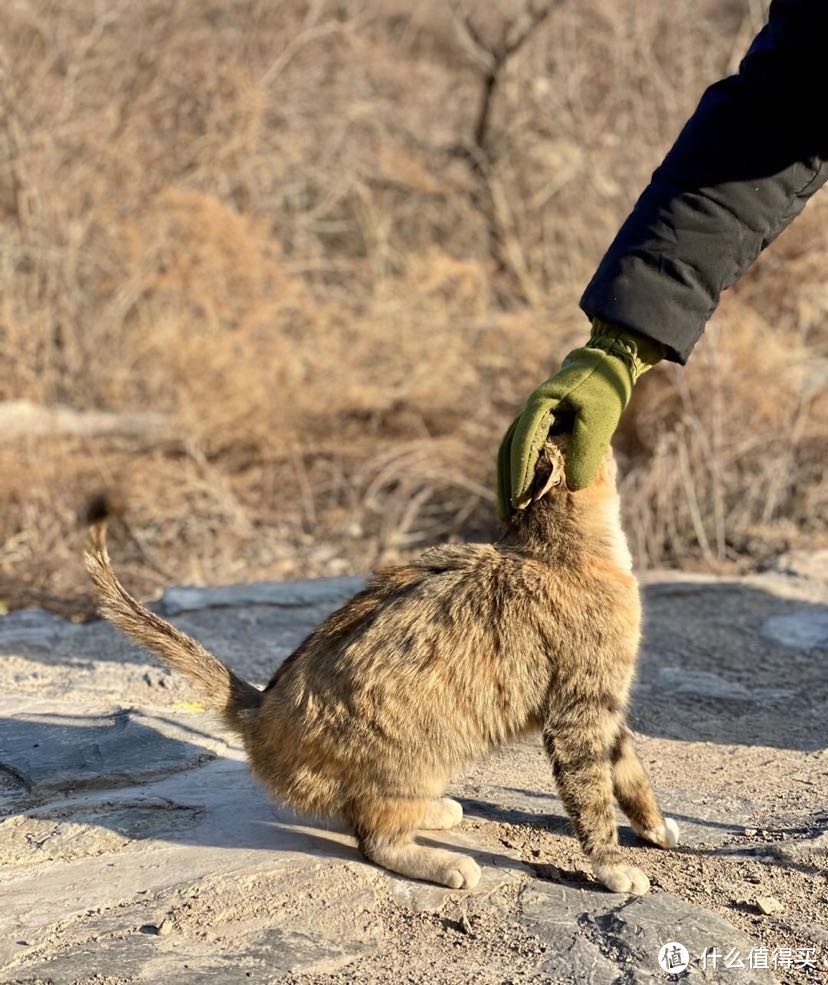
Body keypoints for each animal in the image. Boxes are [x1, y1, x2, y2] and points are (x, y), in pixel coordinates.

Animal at [85, 438, 680, 892]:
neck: (559, 552)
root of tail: (260, 708)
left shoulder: (607, 710)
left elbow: (630, 774)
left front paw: (653, 829)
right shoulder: (579, 714)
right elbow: (592, 799)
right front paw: (613, 868)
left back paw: (436, 813)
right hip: (417, 751)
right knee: (375, 839)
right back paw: (445, 861)